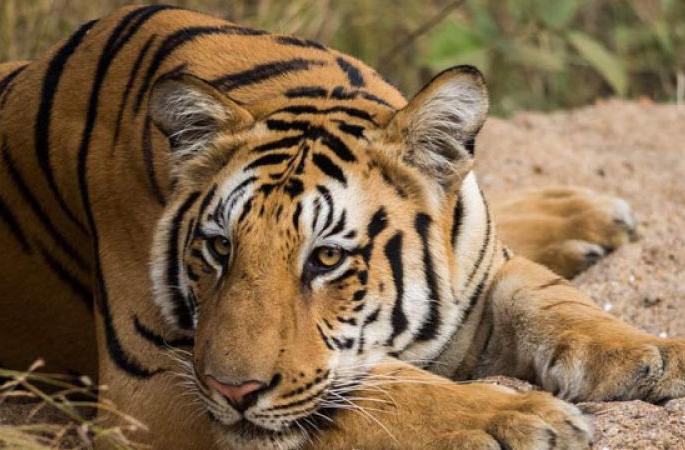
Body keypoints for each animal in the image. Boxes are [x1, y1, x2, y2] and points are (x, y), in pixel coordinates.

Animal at [0, 5, 682, 450]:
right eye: (218, 248)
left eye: (326, 259)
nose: (231, 391)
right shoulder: (151, 388)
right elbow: (373, 394)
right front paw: (516, 420)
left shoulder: (483, 271)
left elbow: (555, 301)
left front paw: (655, 355)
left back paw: (588, 216)